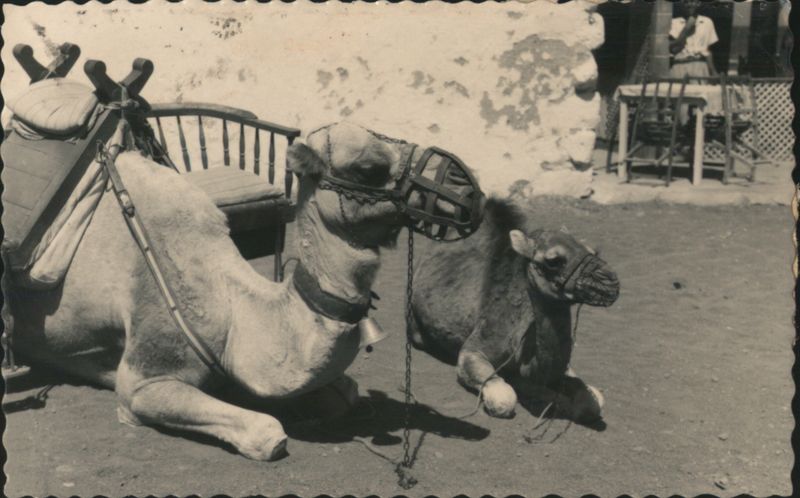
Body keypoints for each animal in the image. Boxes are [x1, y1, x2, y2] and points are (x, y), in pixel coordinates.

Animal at [5, 121, 483, 461]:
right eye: (368, 167)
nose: (468, 189)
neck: (235, 309)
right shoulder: (144, 381)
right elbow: (268, 433)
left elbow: (346, 393)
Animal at [409, 198, 619, 422]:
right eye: (553, 261)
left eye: (593, 251)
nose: (611, 282)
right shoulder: (474, 350)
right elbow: (504, 397)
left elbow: (593, 401)